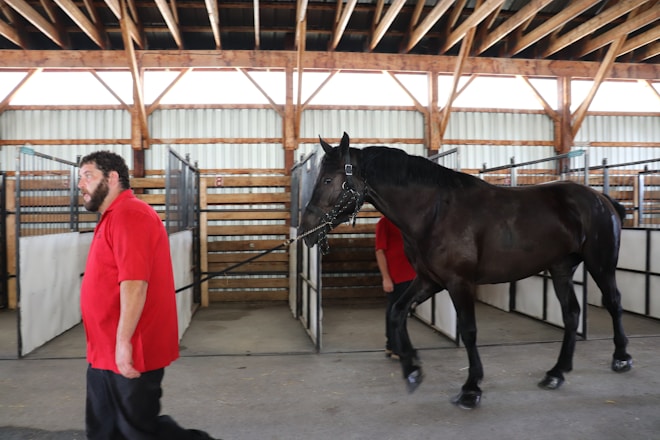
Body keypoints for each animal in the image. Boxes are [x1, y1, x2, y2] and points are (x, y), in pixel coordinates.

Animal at [299, 132, 633, 409]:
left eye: (327, 180)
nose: (305, 230)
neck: (434, 212)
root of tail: (601, 199)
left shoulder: (459, 283)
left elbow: (469, 331)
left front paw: (471, 389)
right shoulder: (429, 281)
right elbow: (397, 312)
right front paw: (412, 369)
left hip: (601, 264)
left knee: (613, 302)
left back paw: (621, 358)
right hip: (561, 268)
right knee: (571, 314)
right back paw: (556, 373)